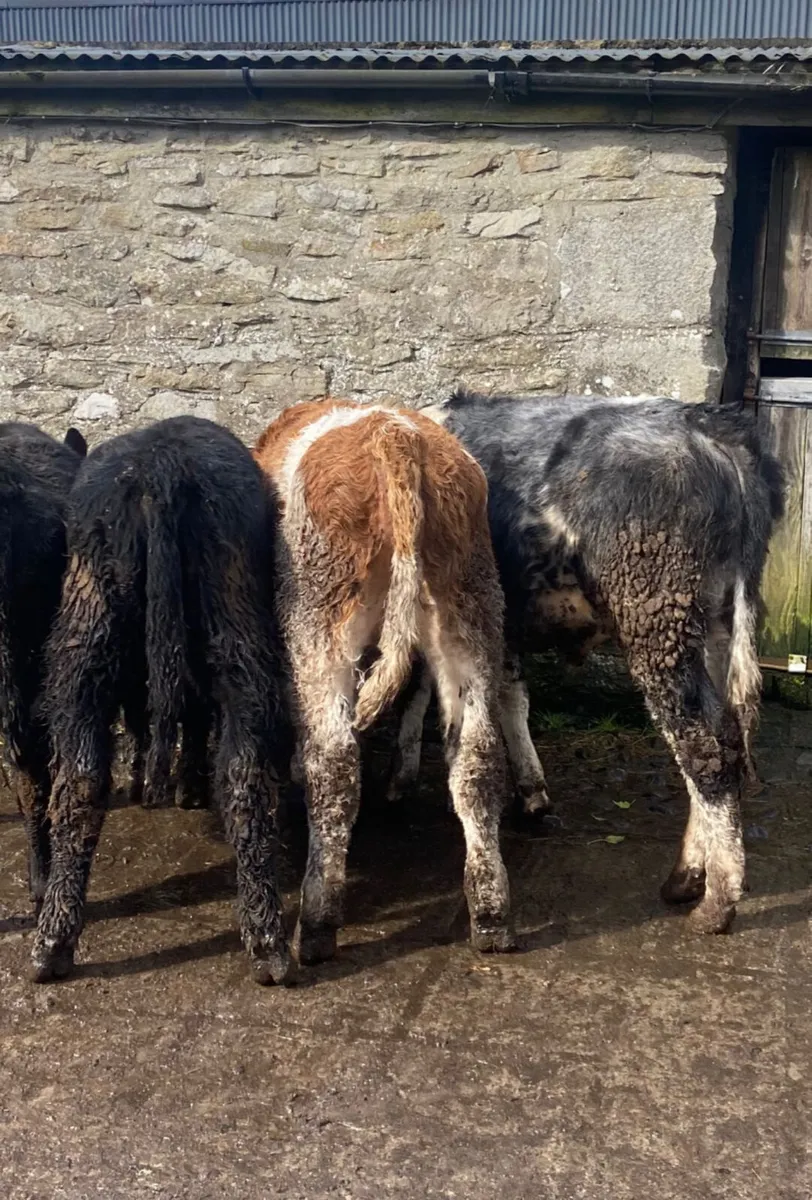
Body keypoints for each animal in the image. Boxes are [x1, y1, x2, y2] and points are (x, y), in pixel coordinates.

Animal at [31, 416, 292, 986]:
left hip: (93, 637)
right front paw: (187, 785)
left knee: (82, 779)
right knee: (238, 772)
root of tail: (160, 471)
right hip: (214, 634)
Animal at [254, 399, 513, 965]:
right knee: (477, 756)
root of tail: (392, 435)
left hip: (321, 618)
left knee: (334, 761)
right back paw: (491, 914)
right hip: (468, 605)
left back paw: (318, 923)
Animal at [390, 391, 784, 937]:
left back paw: (715, 903)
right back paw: (687, 876)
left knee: (703, 752)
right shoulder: (505, 623)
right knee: (724, 736)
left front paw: (401, 777)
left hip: (656, 618)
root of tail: (711, 426)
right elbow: (512, 697)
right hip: (716, 624)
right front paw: (532, 792)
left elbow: (426, 693)